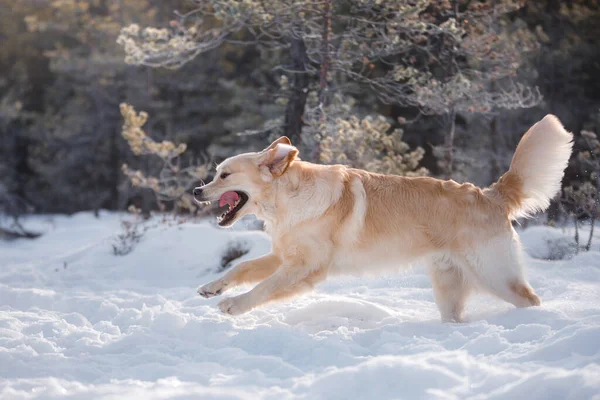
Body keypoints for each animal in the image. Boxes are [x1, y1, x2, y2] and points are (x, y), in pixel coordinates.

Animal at [195, 115, 576, 322]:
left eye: (224, 175)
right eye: (215, 174)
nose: (198, 191)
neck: (287, 199)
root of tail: (491, 194)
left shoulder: (304, 267)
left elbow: (264, 287)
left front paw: (233, 304)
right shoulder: (283, 256)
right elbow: (242, 267)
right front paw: (213, 287)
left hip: (494, 274)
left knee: (530, 299)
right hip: (449, 284)